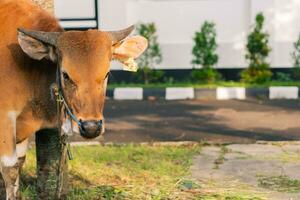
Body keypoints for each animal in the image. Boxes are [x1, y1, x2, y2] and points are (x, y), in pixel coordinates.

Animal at [0, 0, 148, 198]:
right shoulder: (5, 118)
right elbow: (9, 169)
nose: (91, 127)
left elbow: (18, 164)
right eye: (66, 75)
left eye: (106, 74)